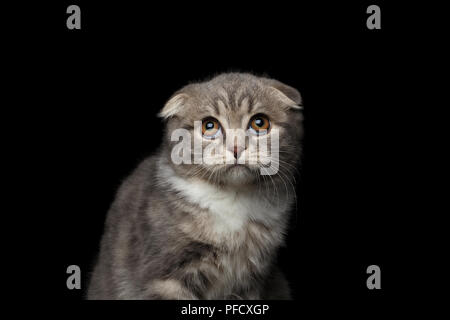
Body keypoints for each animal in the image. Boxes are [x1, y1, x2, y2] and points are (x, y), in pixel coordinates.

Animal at [86, 72, 304, 300]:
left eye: (259, 123)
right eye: (210, 126)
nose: (236, 148)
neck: (233, 199)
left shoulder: (252, 281)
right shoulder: (165, 274)